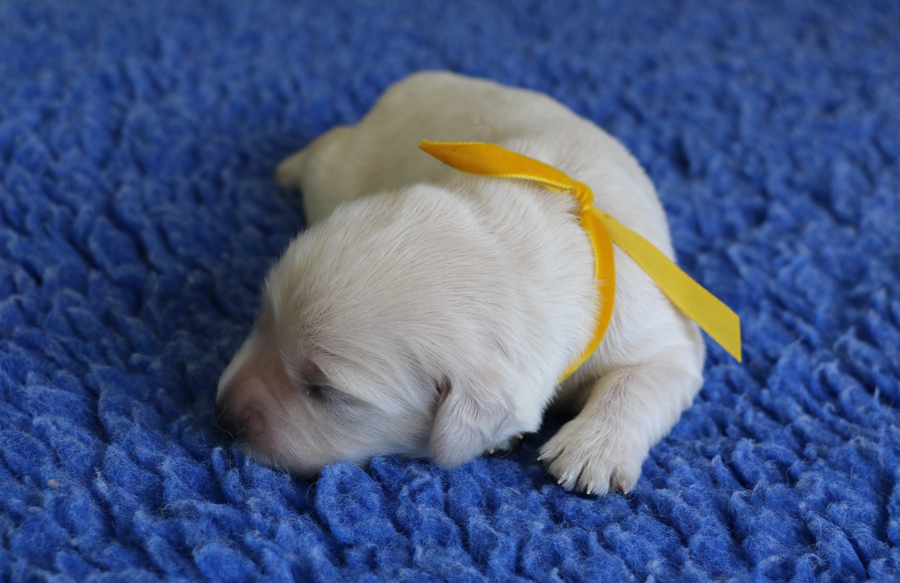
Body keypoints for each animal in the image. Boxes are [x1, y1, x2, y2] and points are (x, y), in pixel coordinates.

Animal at [216, 72, 705, 495]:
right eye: (261, 322)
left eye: (327, 392)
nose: (222, 416)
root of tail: (414, 82)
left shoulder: (662, 335)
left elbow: (641, 381)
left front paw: (593, 451)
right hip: (341, 175)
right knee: (328, 149)